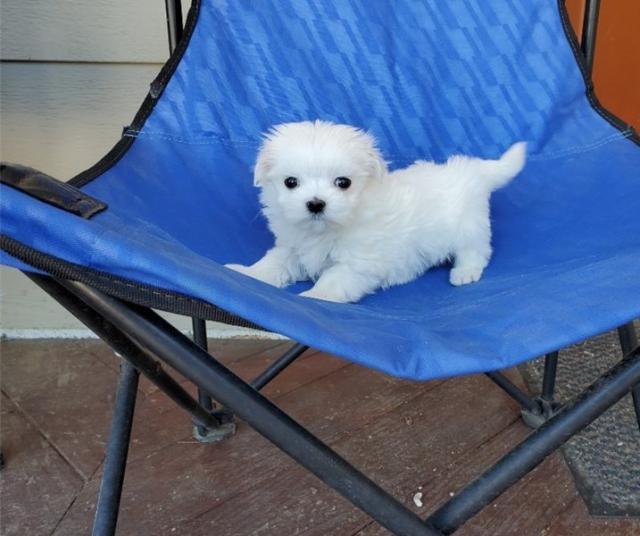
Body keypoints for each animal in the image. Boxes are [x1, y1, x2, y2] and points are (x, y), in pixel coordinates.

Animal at [225, 122, 524, 306]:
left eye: (343, 182)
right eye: (290, 182)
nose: (316, 204)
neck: (326, 229)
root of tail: (474, 170)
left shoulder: (357, 262)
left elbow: (333, 279)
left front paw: (316, 295)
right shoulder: (292, 248)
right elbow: (272, 263)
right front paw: (246, 274)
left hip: (469, 227)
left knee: (476, 251)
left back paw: (464, 272)